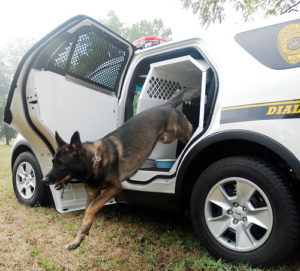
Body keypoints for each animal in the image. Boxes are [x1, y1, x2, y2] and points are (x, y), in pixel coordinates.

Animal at [42, 87, 200, 251]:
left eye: (61, 164)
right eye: (53, 162)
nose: (43, 179)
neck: (94, 161)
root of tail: (167, 104)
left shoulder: (114, 187)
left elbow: (92, 208)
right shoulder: (92, 194)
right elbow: (87, 214)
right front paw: (78, 240)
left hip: (180, 132)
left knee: (190, 131)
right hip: (166, 138)